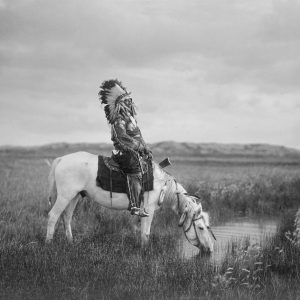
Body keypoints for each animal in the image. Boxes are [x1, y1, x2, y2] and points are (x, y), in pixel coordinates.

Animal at [45, 151, 214, 252]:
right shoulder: (148, 209)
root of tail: (61, 159)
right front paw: (144, 252)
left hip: (74, 196)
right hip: (65, 196)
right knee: (53, 216)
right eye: (201, 228)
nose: (210, 249)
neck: (162, 184)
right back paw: (49, 244)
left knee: (66, 218)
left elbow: (142, 231)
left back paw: (70, 243)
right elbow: (146, 233)